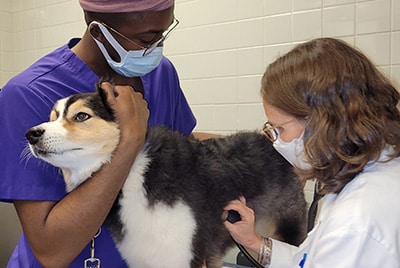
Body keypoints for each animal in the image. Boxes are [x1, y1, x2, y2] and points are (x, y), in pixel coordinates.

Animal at [24, 84, 306, 268]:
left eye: (82, 116)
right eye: (53, 117)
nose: (31, 133)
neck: (132, 175)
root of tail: (269, 142)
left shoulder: (181, 253)